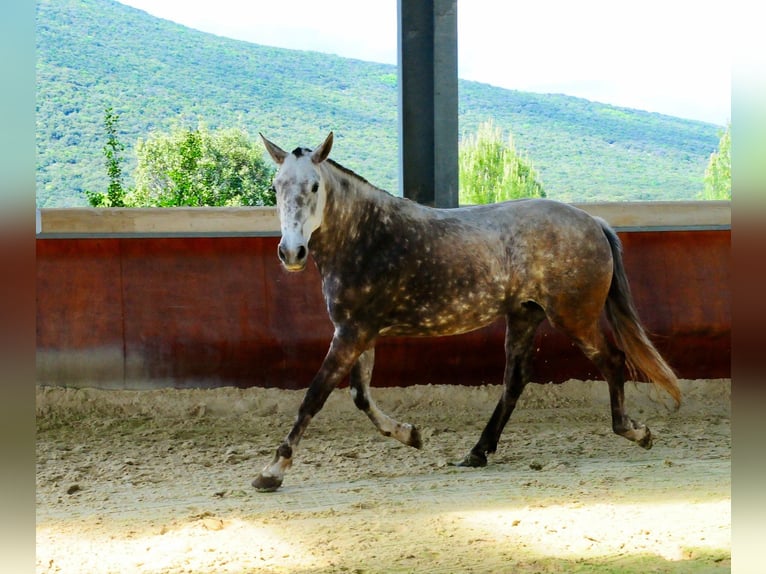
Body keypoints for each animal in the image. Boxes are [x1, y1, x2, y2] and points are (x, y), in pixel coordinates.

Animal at [255, 133, 680, 492]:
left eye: (314, 186)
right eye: (276, 186)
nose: (291, 252)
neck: (366, 236)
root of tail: (594, 222)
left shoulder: (352, 333)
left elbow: (315, 395)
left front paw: (272, 471)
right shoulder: (359, 332)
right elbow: (361, 397)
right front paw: (411, 434)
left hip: (574, 318)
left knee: (612, 360)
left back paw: (634, 431)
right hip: (525, 315)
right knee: (515, 380)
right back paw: (477, 452)